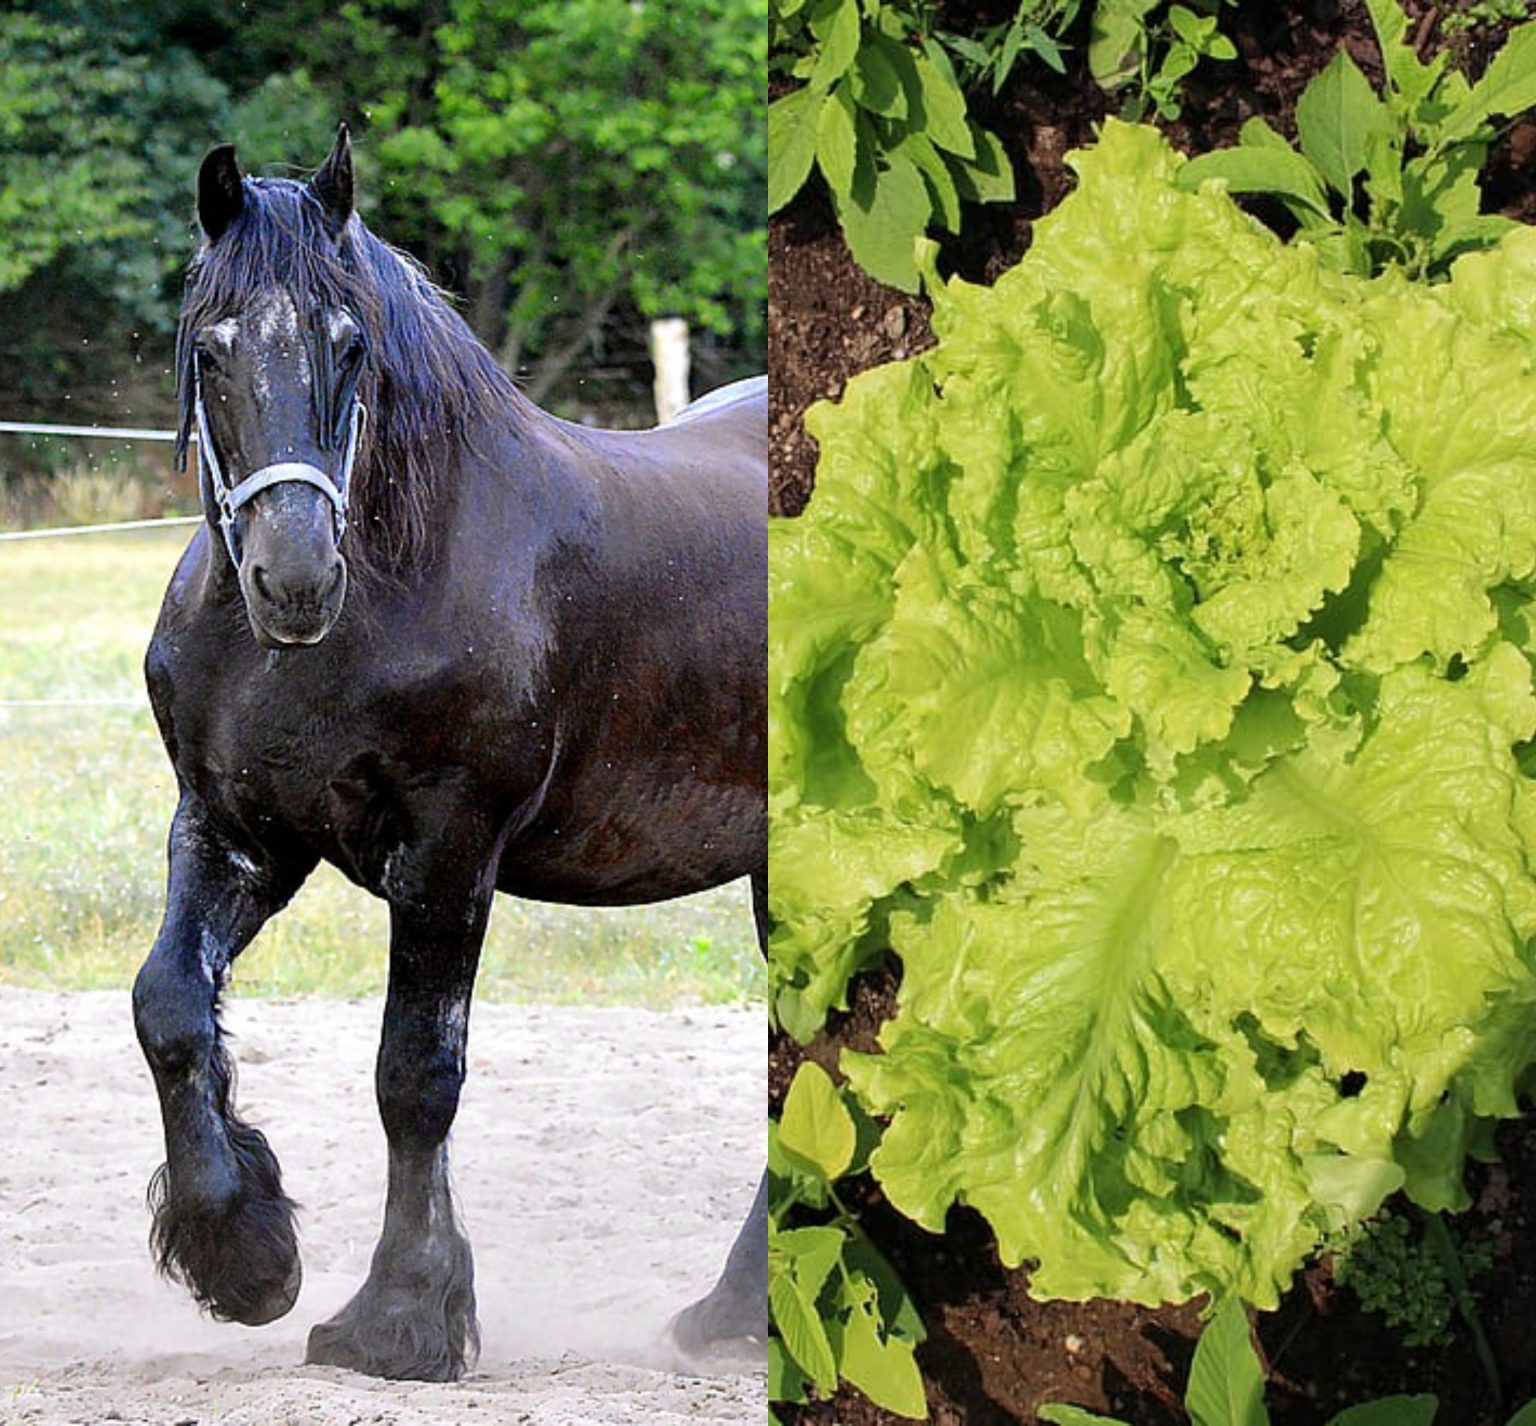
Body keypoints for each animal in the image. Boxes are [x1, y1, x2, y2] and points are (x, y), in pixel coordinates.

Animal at [130, 125, 766, 1381]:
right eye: (214, 348)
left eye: (349, 342)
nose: (295, 577)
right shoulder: (234, 832)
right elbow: (169, 1002)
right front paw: (246, 1254)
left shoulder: (447, 850)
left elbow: (414, 1076)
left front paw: (400, 1319)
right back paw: (733, 1312)